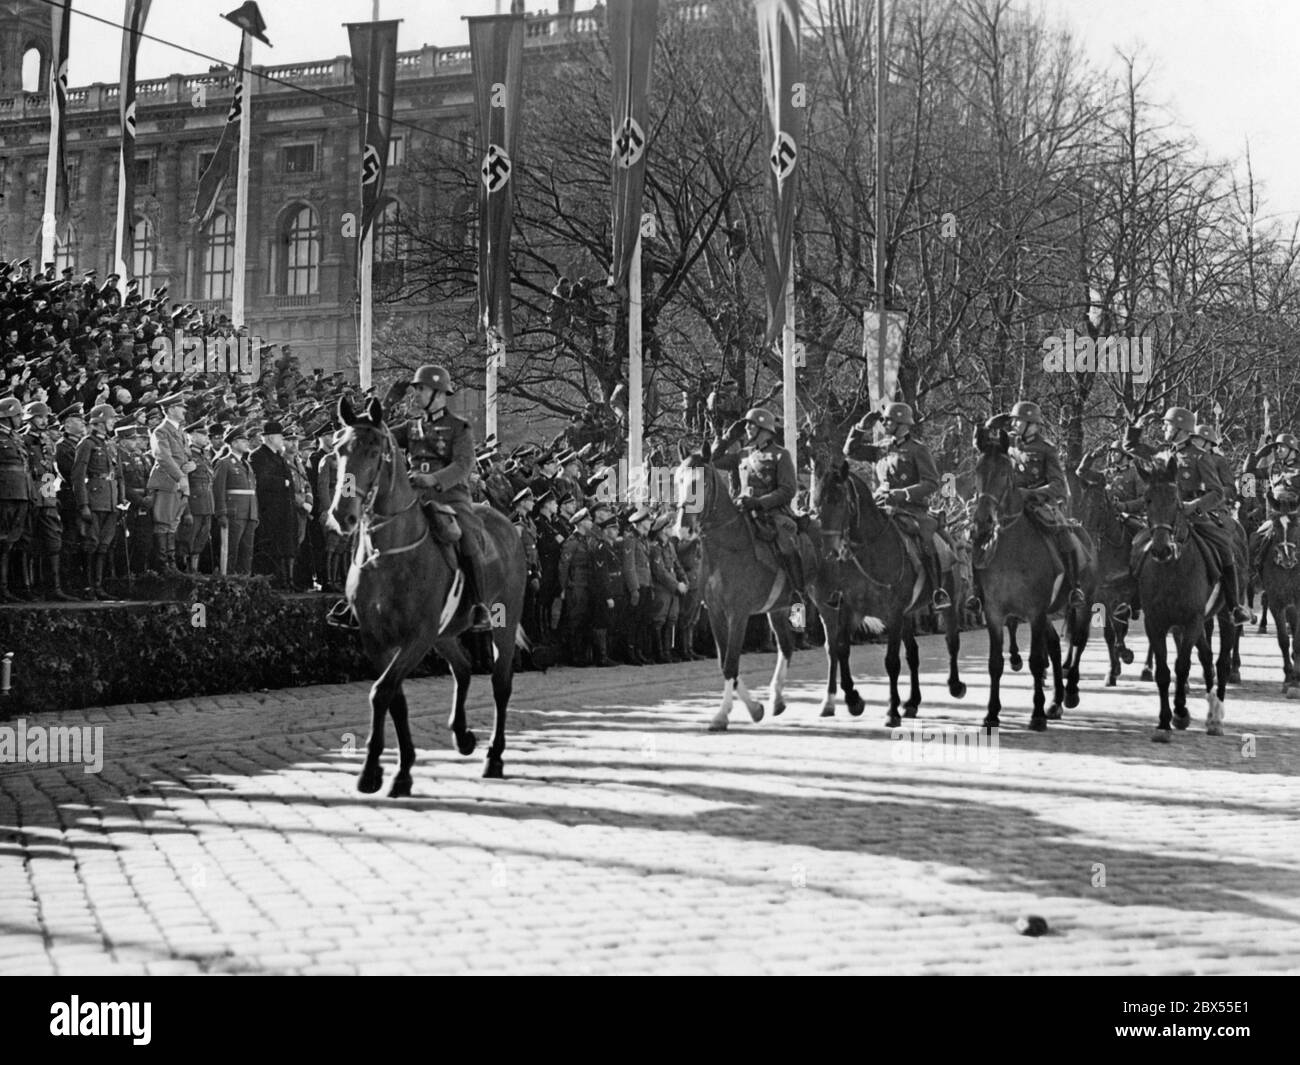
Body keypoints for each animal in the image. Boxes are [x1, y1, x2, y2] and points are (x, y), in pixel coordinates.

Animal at [330, 397, 527, 790]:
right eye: (338, 449)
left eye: (373, 450)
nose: (342, 515)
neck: (387, 554)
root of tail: (507, 525)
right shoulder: (377, 640)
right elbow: (394, 697)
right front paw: (400, 768)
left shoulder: (417, 636)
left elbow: (382, 692)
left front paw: (375, 771)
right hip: (445, 633)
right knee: (463, 668)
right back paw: (463, 736)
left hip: (503, 623)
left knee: (500, 683)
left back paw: (494, 757)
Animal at [670, 449, 811, 733]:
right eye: (678, 480)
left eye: (701, 483)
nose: (682, 530)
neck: (727, 547)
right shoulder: (715, 613)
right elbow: (725, 663)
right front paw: (754, 709)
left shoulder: (738, 614)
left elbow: (731, 662)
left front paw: (722, 714)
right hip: (778, 610)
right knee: (787, 646)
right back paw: (777, 699)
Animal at [811, 457, 967, 723]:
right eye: (815, 501)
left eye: (837, 500)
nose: (828, 551)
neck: (871, 550)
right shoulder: (852, 610)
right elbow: (841, 648)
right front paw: (853, 700)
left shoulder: (892, 614)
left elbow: (892, 662)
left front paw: (891, 710)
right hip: (908, 614)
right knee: (913, 654)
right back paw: (912, 702)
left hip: (949, 601)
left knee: (951, 641)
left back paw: (955, 686)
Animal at [972, 423, 1092, 733]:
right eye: (977, 470)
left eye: (1005, 473)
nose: (982, 523)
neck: (1013, 549)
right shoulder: (995, 612)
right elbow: (995, 663)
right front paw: (991, 714)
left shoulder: (1035, 612)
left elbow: (1037, 661)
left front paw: (1036, 715)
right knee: (1056, 647)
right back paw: (1056, 703)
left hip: (1083, 605)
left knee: (1077, 642)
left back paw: (1069, 694)